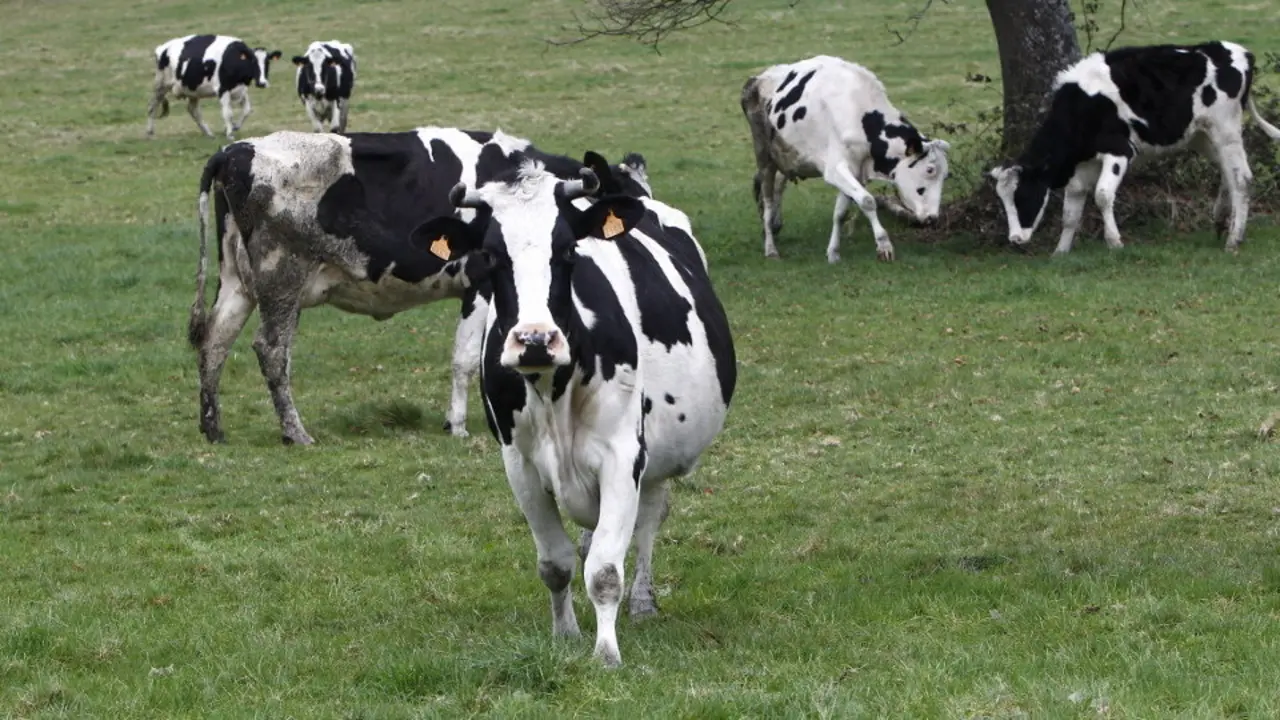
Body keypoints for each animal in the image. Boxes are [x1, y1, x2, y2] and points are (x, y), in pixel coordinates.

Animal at [147, 35, 282, 140]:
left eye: (267, 62)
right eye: (252, 61)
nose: (262, 83)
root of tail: (162, 48)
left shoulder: (241, 90)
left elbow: (247, 110)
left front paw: (234, 126)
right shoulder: (223, 89)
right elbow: (227, 113)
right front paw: (229, 134)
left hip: (192, 90)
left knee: (193, 111)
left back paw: (208, 133)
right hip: (161, 85)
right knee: (153, 106)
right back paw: (149, 132)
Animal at [188, 127, 654, 445]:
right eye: (629, 198)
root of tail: (234, 150)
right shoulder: (480, 284)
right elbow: (466, 358)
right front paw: (460, 426)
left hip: (238, 282)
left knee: (214, 341)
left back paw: (213, 429)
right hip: (281, 279)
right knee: (271, 350)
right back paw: (295, 433)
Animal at [428, 158, 737, 668]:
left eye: (567, 249)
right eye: (490, 255)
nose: (535, 339)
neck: (552, 392)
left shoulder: (623, 455)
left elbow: (606, 570)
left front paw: (606, 653)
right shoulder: (519, 464)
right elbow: (556, 564)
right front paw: (565, 635)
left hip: (654, 455)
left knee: (649, 519)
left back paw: (643, 601)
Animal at [741, 55, 952, 263]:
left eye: (946, 176)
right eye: (930, 170)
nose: (933, 217)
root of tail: (757, 78)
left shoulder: (856, 172)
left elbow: (841, 213)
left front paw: (833, 252)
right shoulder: (835, 169)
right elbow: (867, 201)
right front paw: (884, 245)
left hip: (786, 157)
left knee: (777, 187)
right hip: (764, 155)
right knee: (767, 200)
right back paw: (770, 247)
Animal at [989, 41, 1280, 255]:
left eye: (1023, 195)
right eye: (1003, 201)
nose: (1015, 238)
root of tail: (1240, 52)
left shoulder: (1120, 150)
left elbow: (1102, 195)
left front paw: (1114, 242)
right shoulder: (1081, 164)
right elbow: (1071, 210)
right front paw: (1060, 252)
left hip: (1225, 128)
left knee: (1241, 178)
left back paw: (1234, 239)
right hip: (1202, 135)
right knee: (1227, 172)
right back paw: (1220, 221)